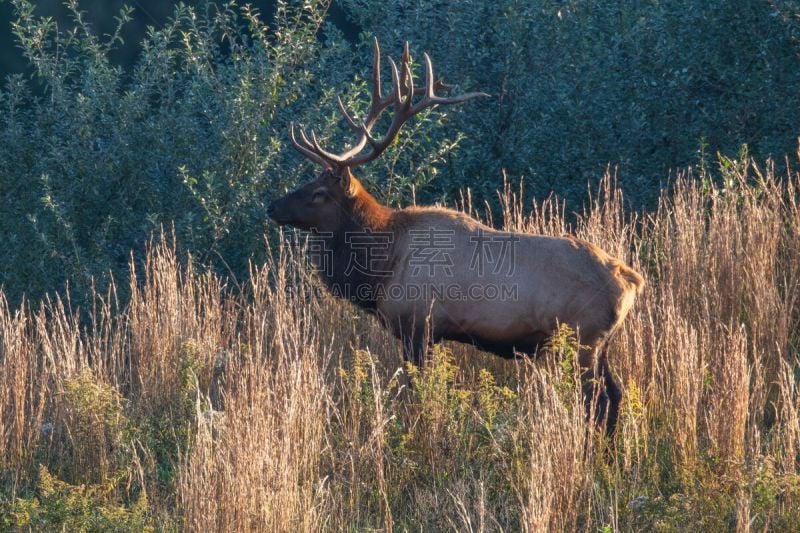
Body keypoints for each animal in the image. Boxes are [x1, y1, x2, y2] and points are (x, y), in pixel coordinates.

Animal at [268, 38, 644, 432]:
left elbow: (418, 393)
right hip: (600, 342)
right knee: (616, 393)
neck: (381, 267)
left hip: (582, 338)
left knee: (597, 399)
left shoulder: (417, 325)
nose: (272, 206)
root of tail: (632, 280)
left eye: (319, 193)